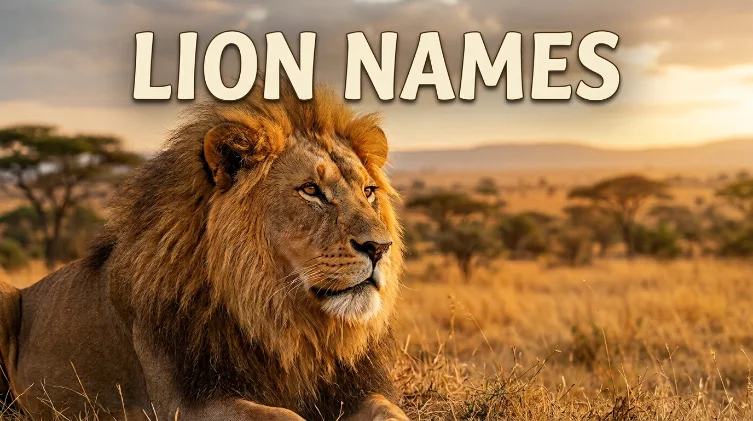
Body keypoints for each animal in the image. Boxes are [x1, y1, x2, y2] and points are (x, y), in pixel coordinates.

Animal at [0, 81, 409, 421]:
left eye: (368, 191)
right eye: (310, 190)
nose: (379, 248)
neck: (283, 322)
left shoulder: (350, 388)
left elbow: (388, 410)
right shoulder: (185, 403)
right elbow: (284, 416)